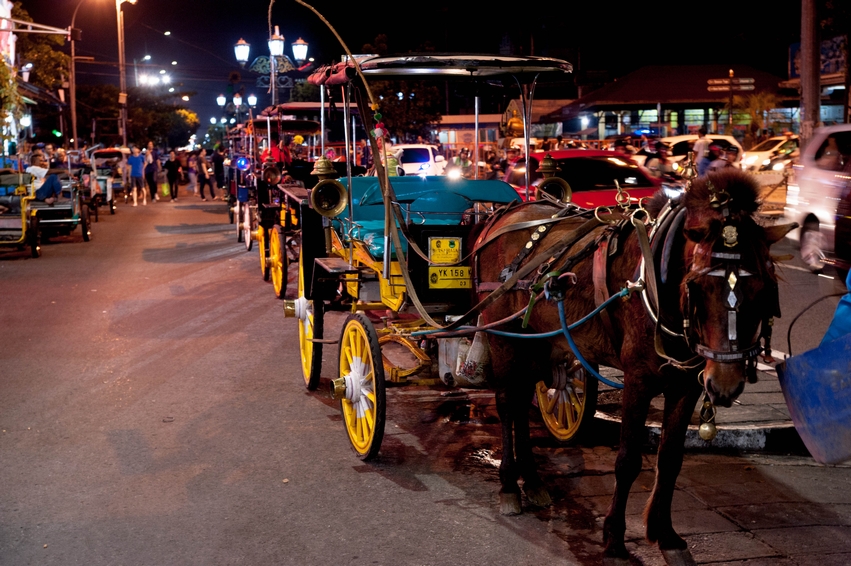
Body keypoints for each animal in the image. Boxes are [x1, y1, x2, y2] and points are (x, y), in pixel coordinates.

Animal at [470, 169, 795, 565]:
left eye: (762, 288)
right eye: (698, 287)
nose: (724, 384)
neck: (658, 278)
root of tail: (506, 214)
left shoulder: (686, 384)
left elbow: (670, 458)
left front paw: (666, 534)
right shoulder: (638, 379)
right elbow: (627, 460)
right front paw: (614, 538)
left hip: (539, 340)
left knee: (520, 404)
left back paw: (531, 481)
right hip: (502, 335)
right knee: (506, 404)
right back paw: (508, 487)